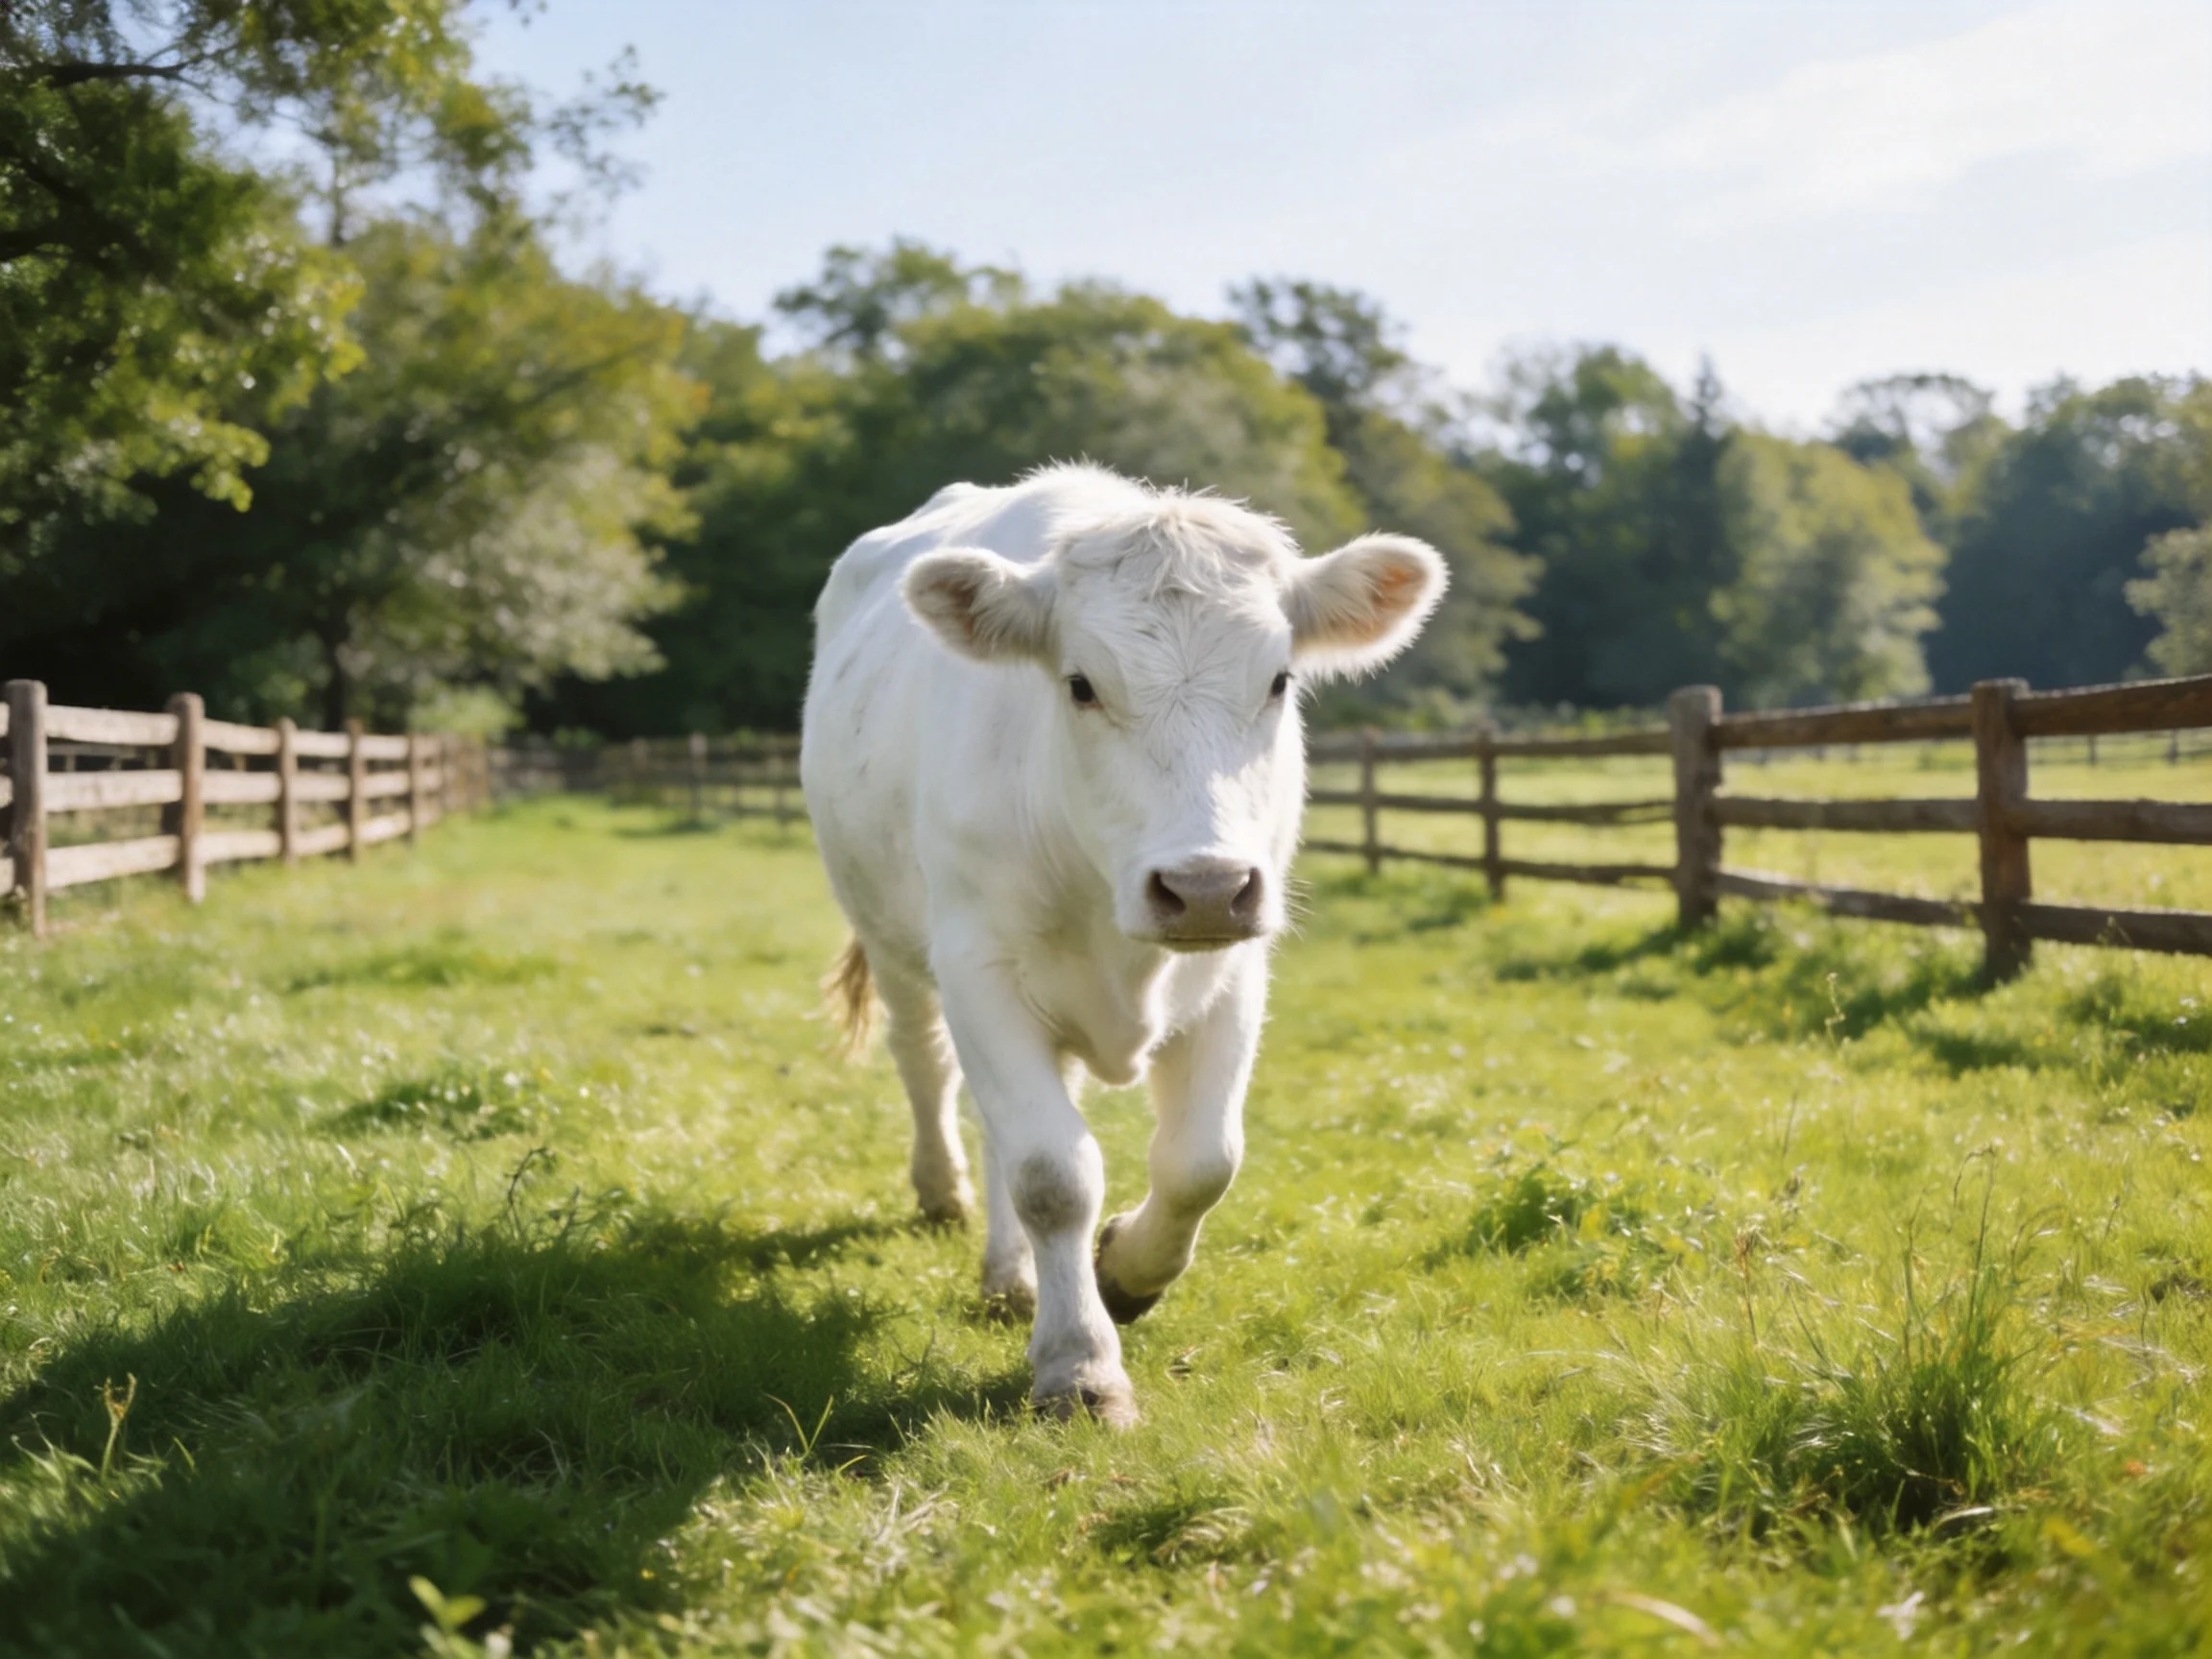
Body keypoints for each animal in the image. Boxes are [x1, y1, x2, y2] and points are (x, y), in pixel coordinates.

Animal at [800, 463, 1445, 1426]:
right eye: (1080, 685)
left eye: (1279, 680)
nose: (1205, 884)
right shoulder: (981, 969)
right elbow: (1051, 1174)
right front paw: (1079, 1364)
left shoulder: (1233, 975)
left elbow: (1201, 1163)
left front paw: (1126, 1276)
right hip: (890, 934)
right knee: (927, 1067)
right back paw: (945, 1196)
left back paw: (1013, 1277)